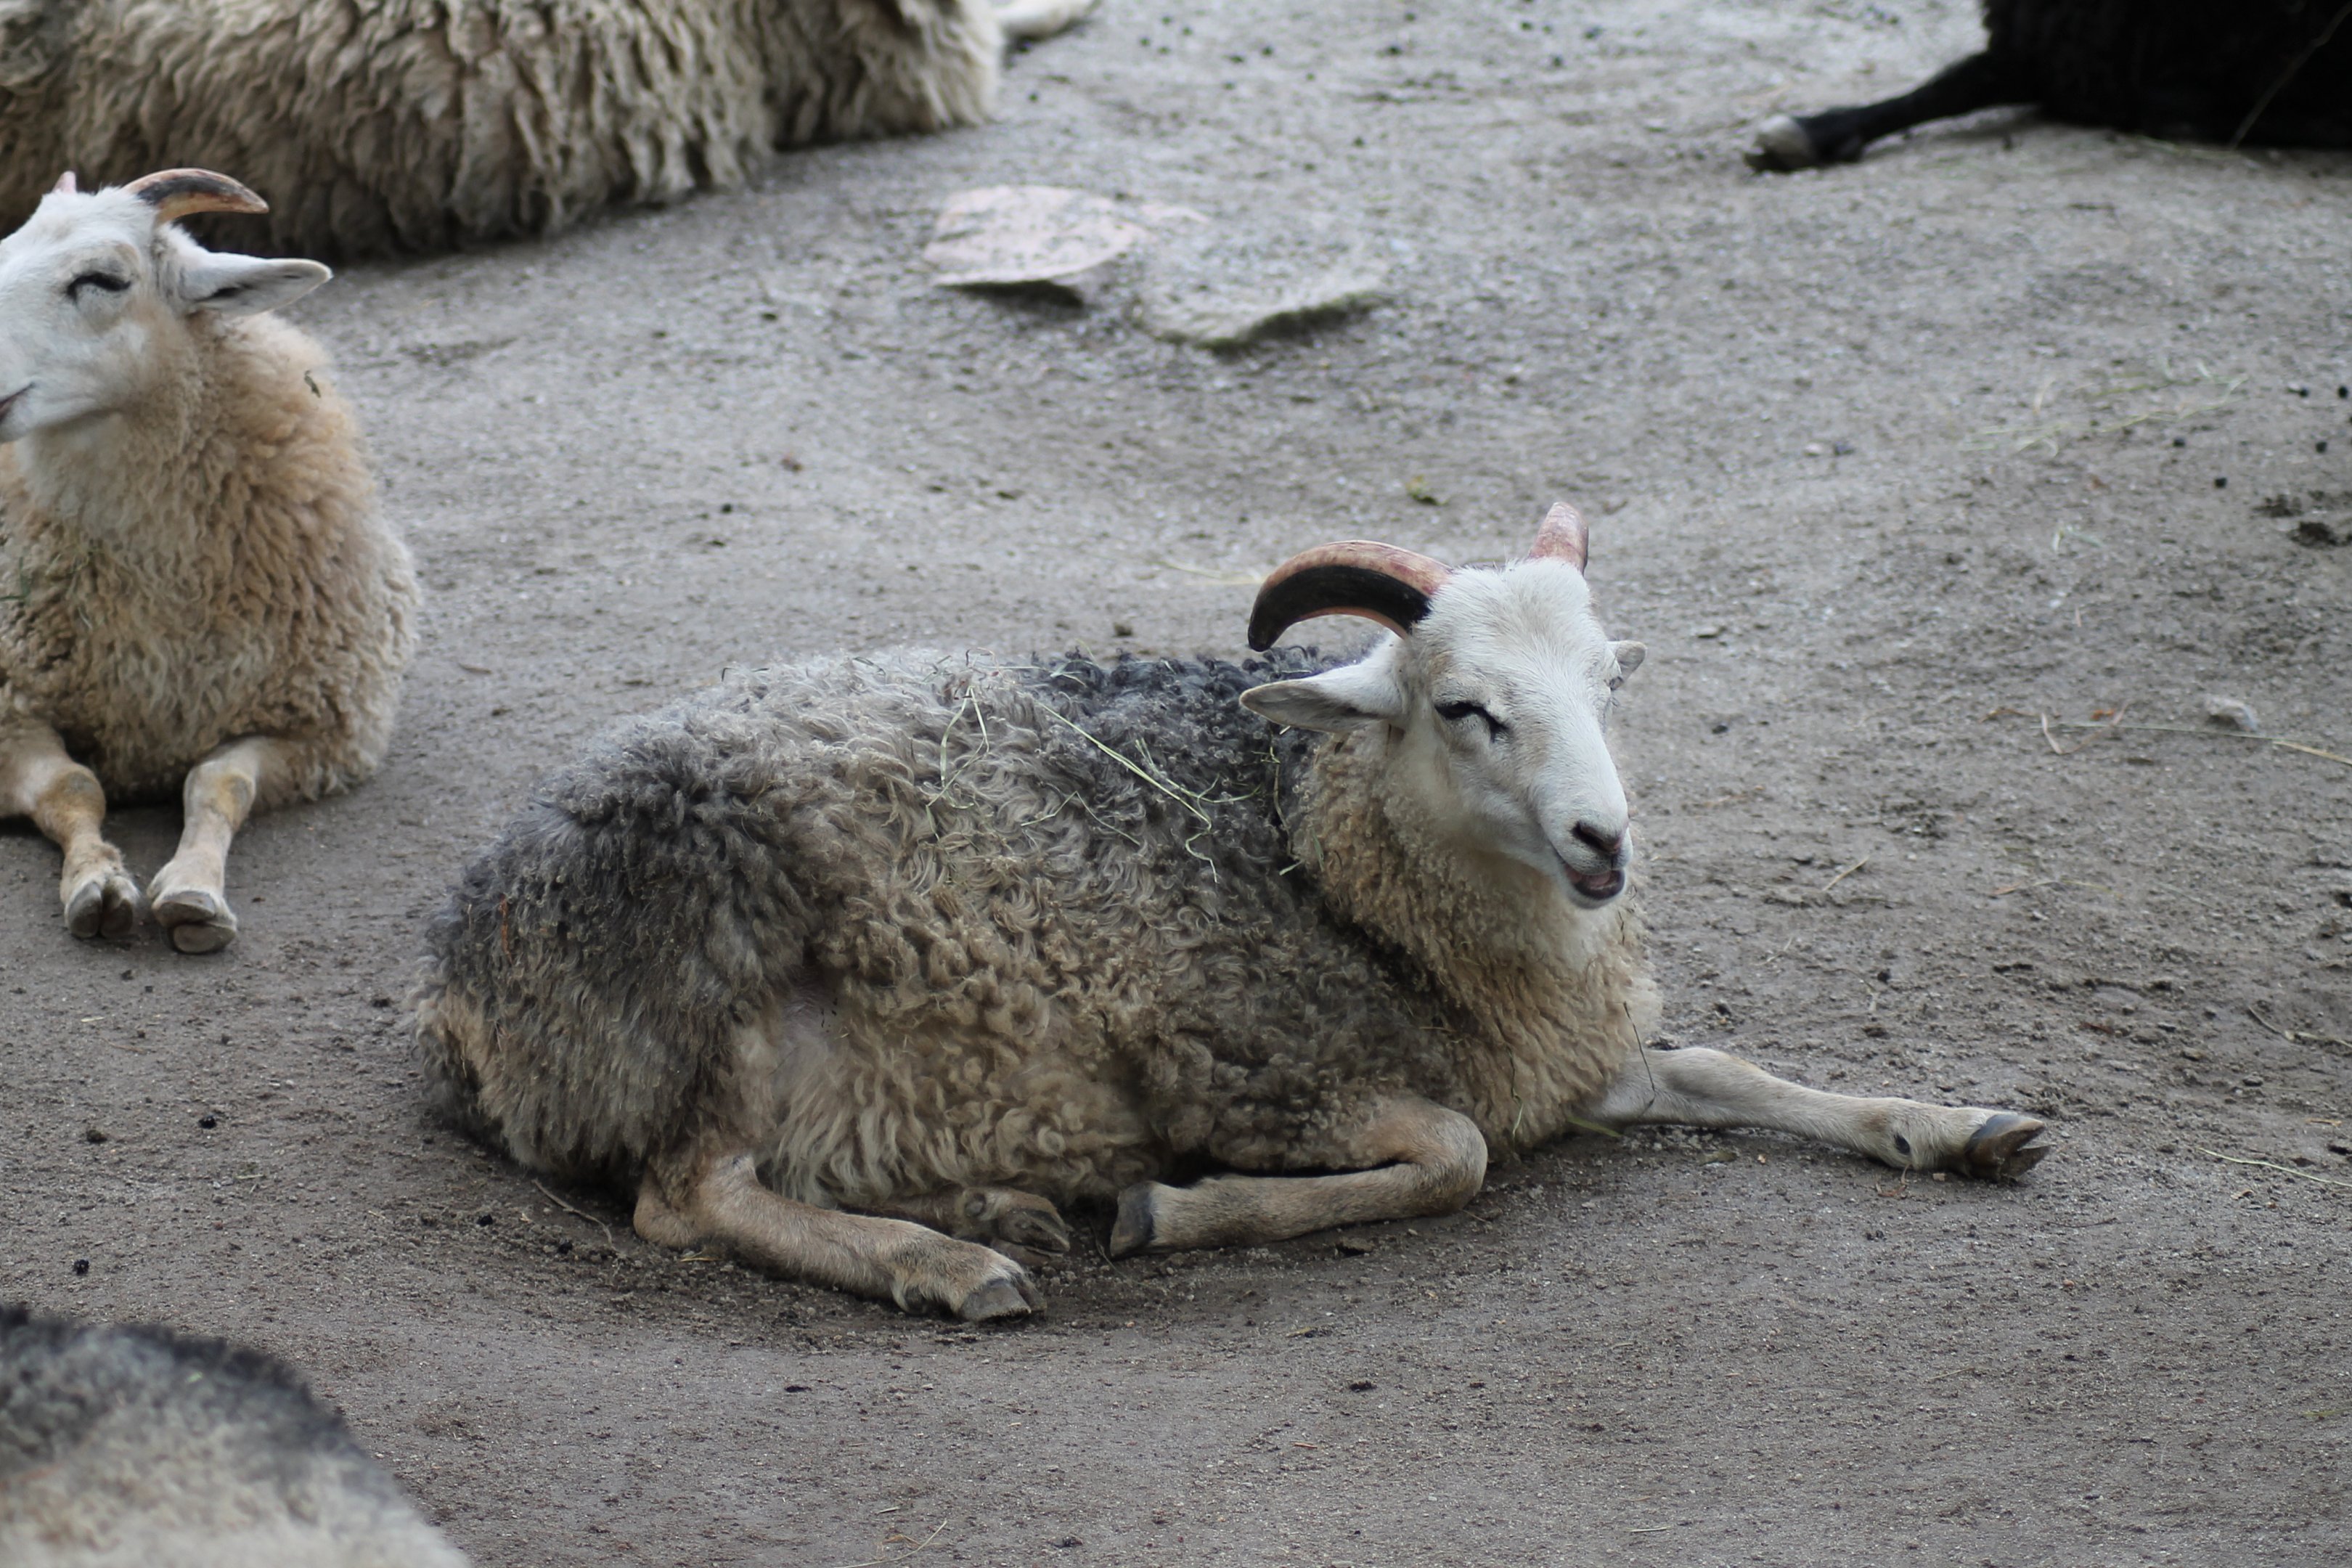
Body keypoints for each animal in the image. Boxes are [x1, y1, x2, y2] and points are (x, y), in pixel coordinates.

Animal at [0, 169, 419, 952]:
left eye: (104, 279)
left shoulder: (323, 725)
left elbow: (221, 782)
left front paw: (196, 891)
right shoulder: (9, 705)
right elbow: (73, 787)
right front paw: (98, 884)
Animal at [415, 503, 2050, 1322]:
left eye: (1609, 685)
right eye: (1464, 708)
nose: (1606, 844)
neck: (1325, 850)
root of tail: (458, 961)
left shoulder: (1556, 1054)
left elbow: (1728, 1066)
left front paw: (1955, 1125)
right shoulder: (1248, 1075)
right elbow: (1452, 1160)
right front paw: (1176, 1209)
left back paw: (991, 1207)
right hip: (721, 983)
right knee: (688, 1196)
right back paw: (952, 1264)